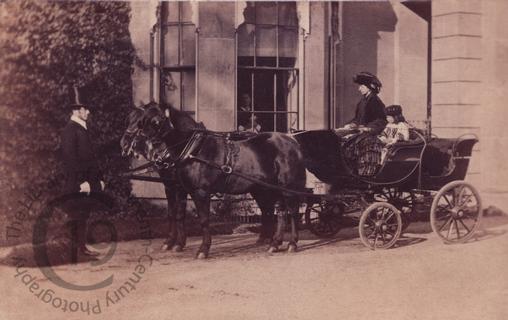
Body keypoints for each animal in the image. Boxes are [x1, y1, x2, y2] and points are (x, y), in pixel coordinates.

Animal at [122, 102, 306, 258]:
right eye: (142, 121)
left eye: (157, 121)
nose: (125, 144)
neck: (193, 149)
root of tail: (292, 141)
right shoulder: (180, 188)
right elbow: (178, 214)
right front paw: (177, 244)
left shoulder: (200, 191)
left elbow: (203, 220)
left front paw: (203, 249)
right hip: (268, 188)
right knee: (278, 212)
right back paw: (273, 243)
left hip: (287, 187)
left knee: (292, 212)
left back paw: (292, 243)